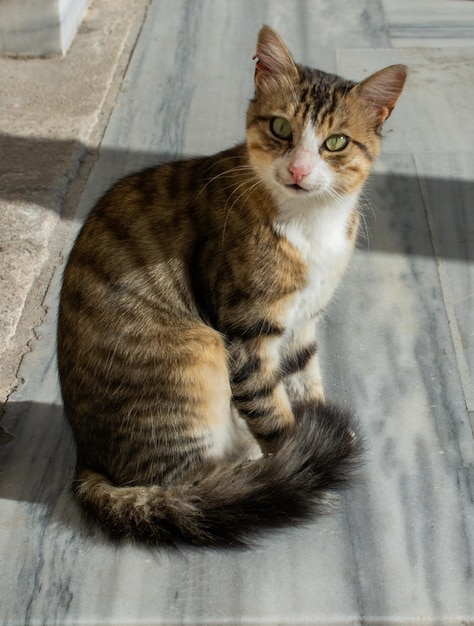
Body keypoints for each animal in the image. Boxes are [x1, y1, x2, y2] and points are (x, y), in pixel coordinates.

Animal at [57, 24, 406, 544]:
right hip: (195, 353)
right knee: (181, 484)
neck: (310, 223)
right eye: (280, 128)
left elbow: (304, 377)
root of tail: (87, 460)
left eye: (336, 142)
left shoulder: (303, 320)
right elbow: (270, 406)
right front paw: (303, 458)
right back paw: (252, 474)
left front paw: (319, 428)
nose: (299, 170)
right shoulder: (245, 328)